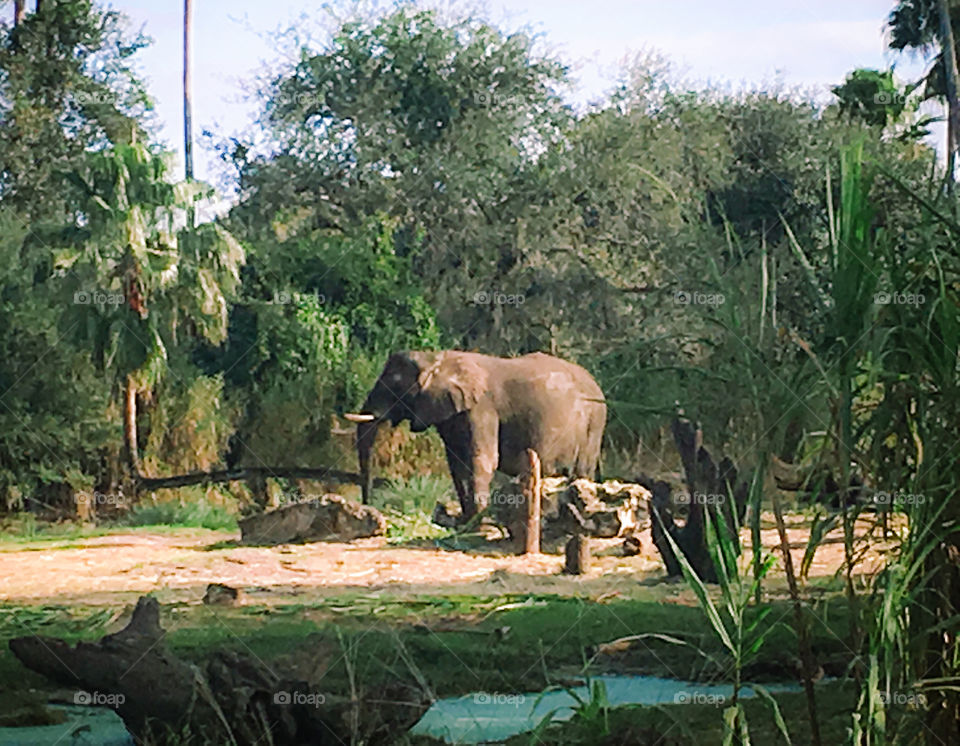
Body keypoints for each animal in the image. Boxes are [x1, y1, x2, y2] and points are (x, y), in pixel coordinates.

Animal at [345, 350, 606, 520]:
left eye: (395, 386)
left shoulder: (482, 409)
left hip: (594, 424)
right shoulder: (450, 412)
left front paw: (477, 520)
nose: (368, 507)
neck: (436, 360)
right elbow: (457, 464)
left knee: (581, 472)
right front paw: (466, 520)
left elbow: (482, 460)